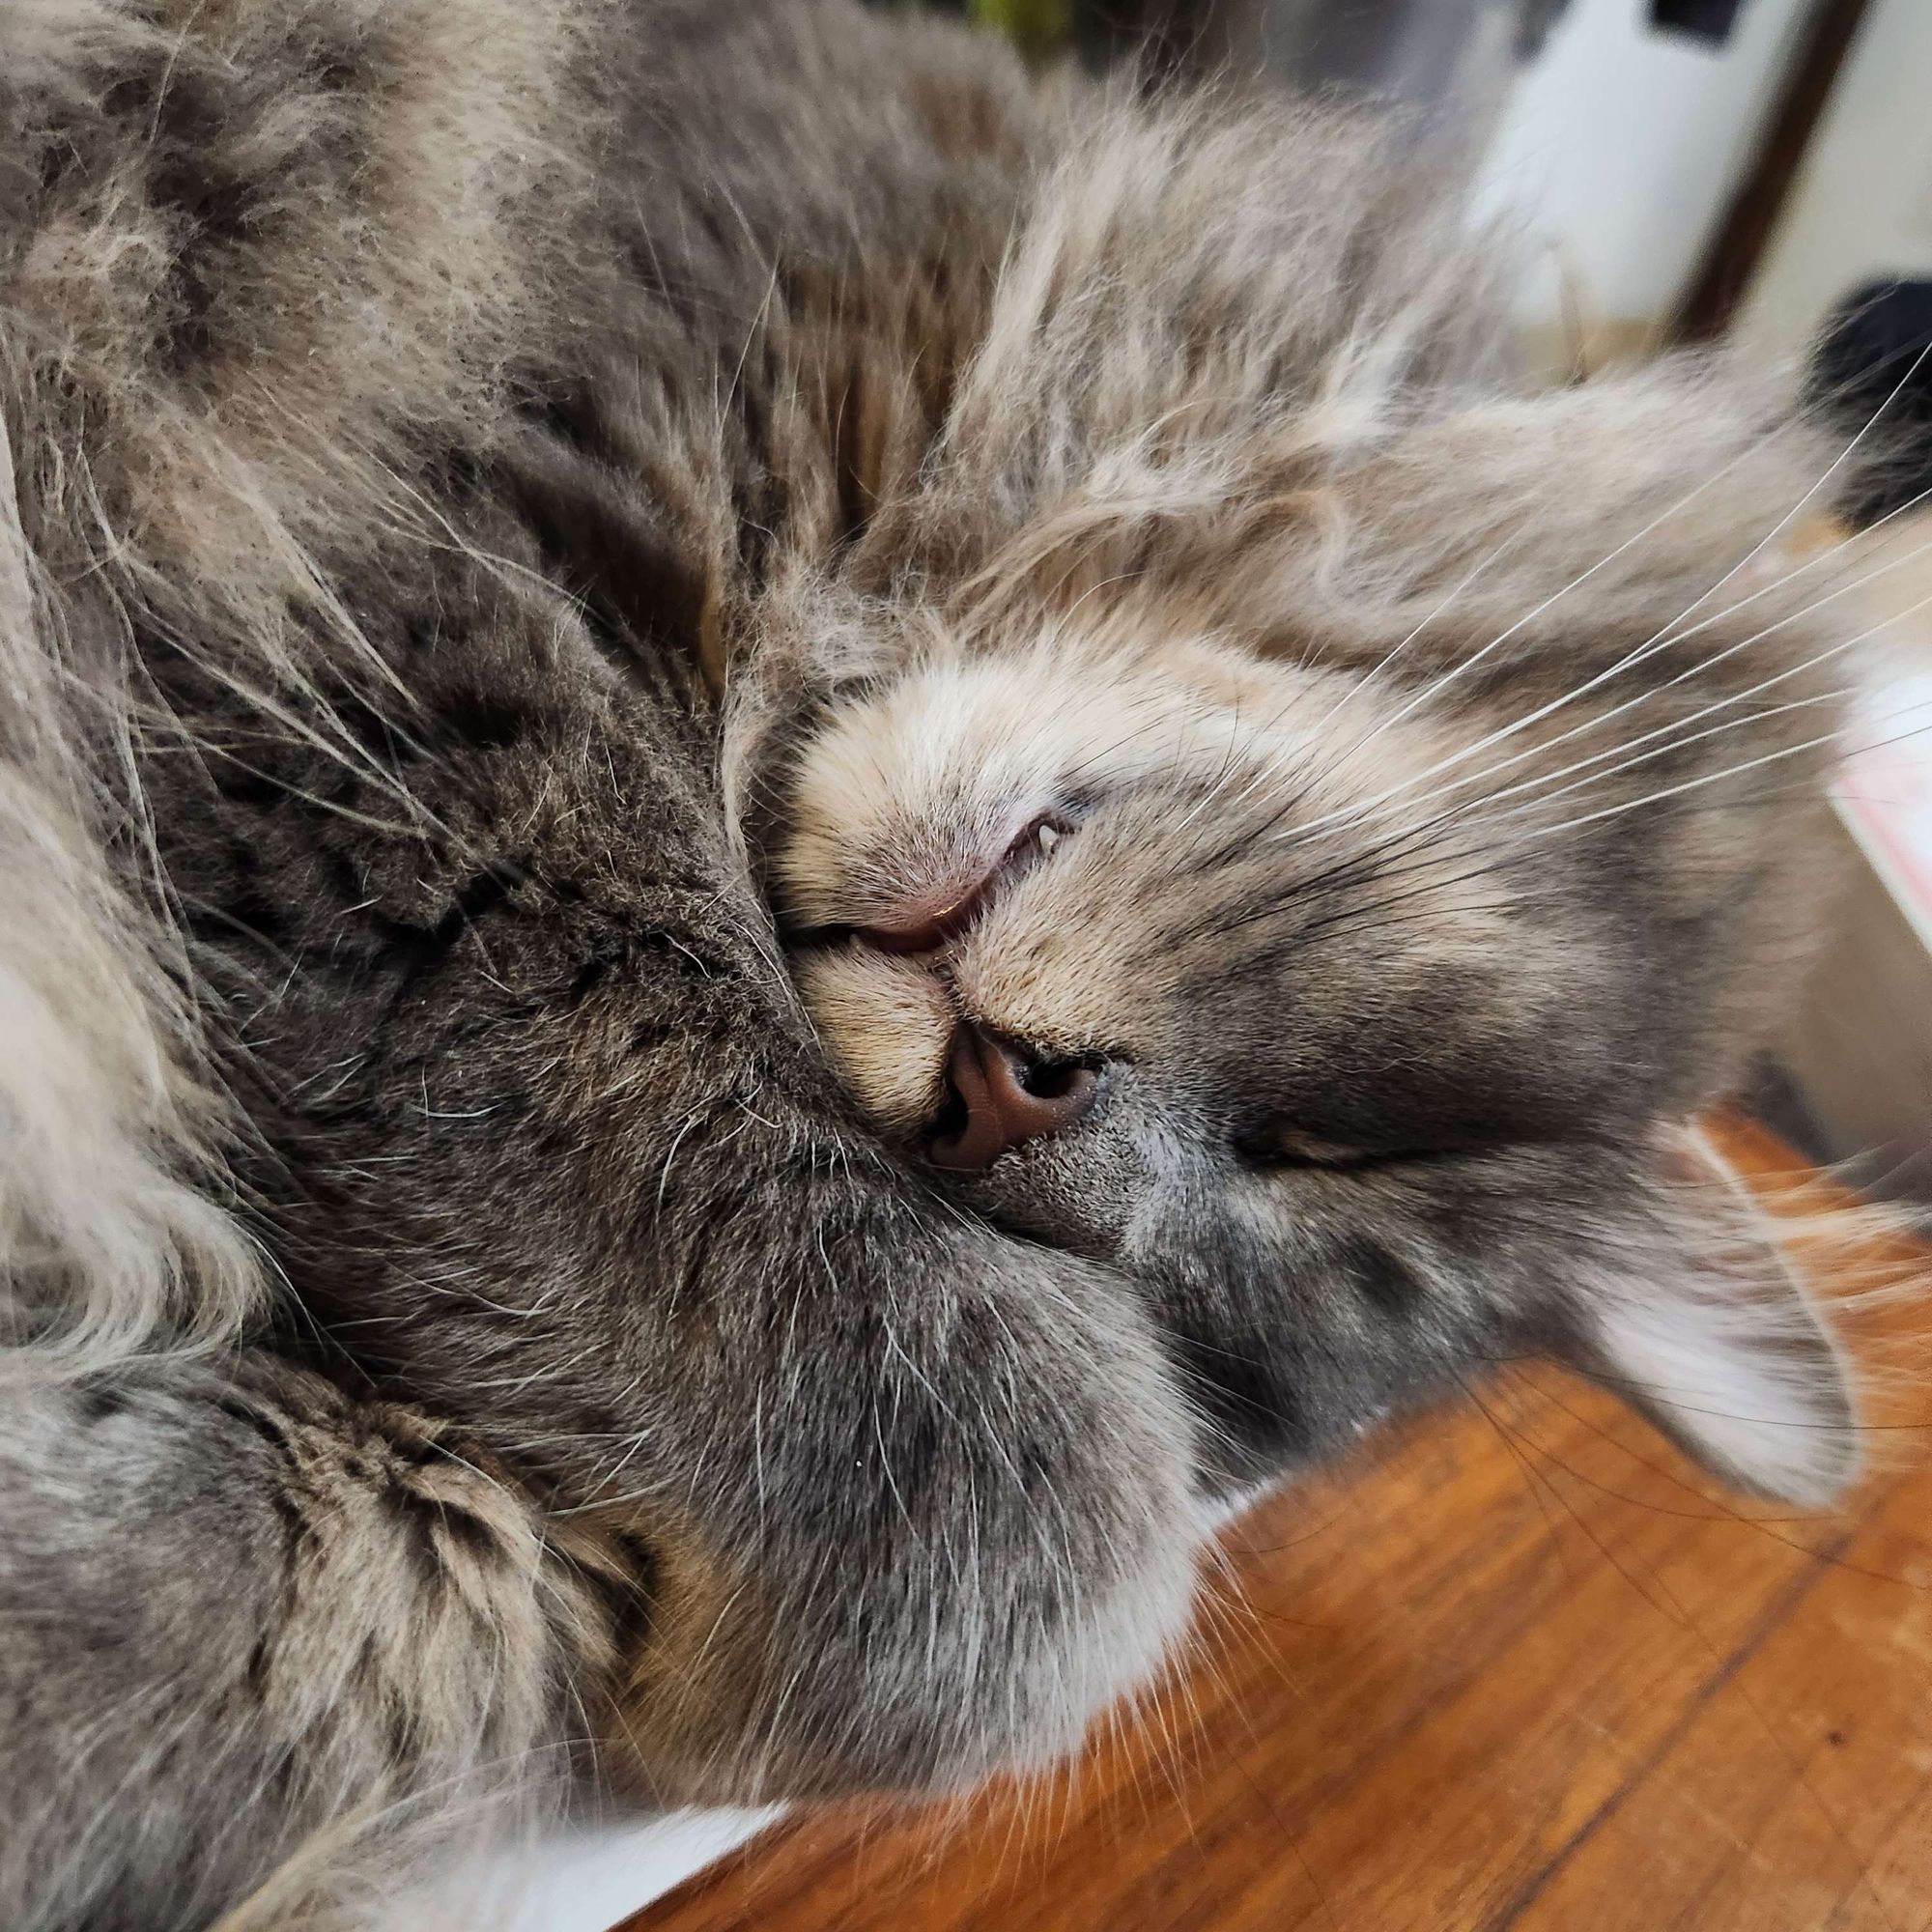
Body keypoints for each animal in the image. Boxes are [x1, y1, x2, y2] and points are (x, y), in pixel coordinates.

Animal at [0, 0, 1870, 1924]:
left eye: (1227, 1251)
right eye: (1333, 1152)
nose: (1012, 1103)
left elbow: (355, 1599)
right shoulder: (425, 638)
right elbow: (1020, 1475)